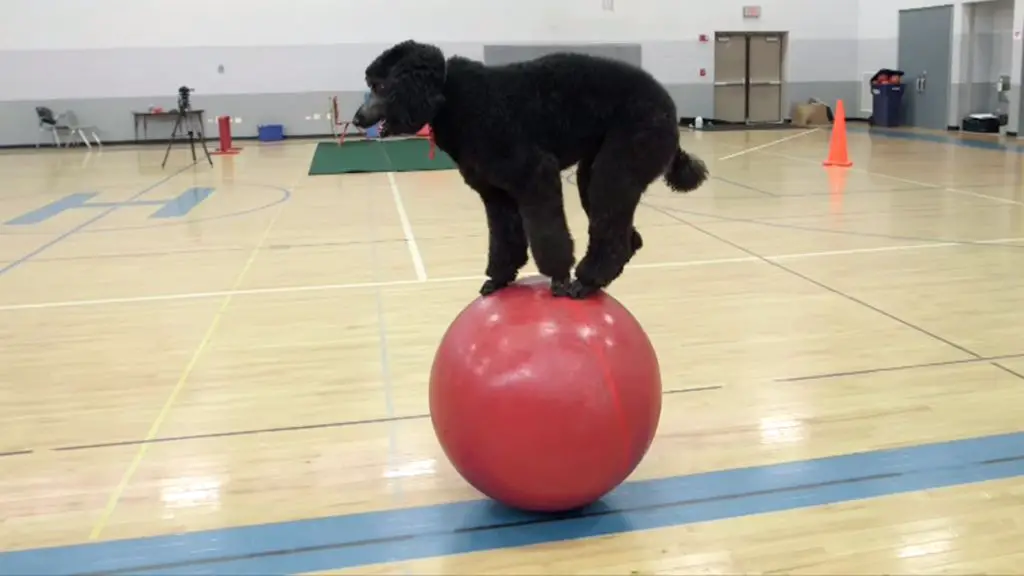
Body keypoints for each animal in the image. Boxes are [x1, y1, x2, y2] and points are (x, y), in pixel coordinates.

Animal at [350, 39, 704, 297]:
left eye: (380, 86)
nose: (356, 118)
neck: (451, 97)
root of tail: (668, 107)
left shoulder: (535, 175)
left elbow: (547, 234)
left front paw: (559, 276)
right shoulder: (497, 193)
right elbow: (505, 238)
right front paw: (499, 278)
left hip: (623, 160)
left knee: (613, 230)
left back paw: (585, 282)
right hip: (596, 172)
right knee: (624, 235)